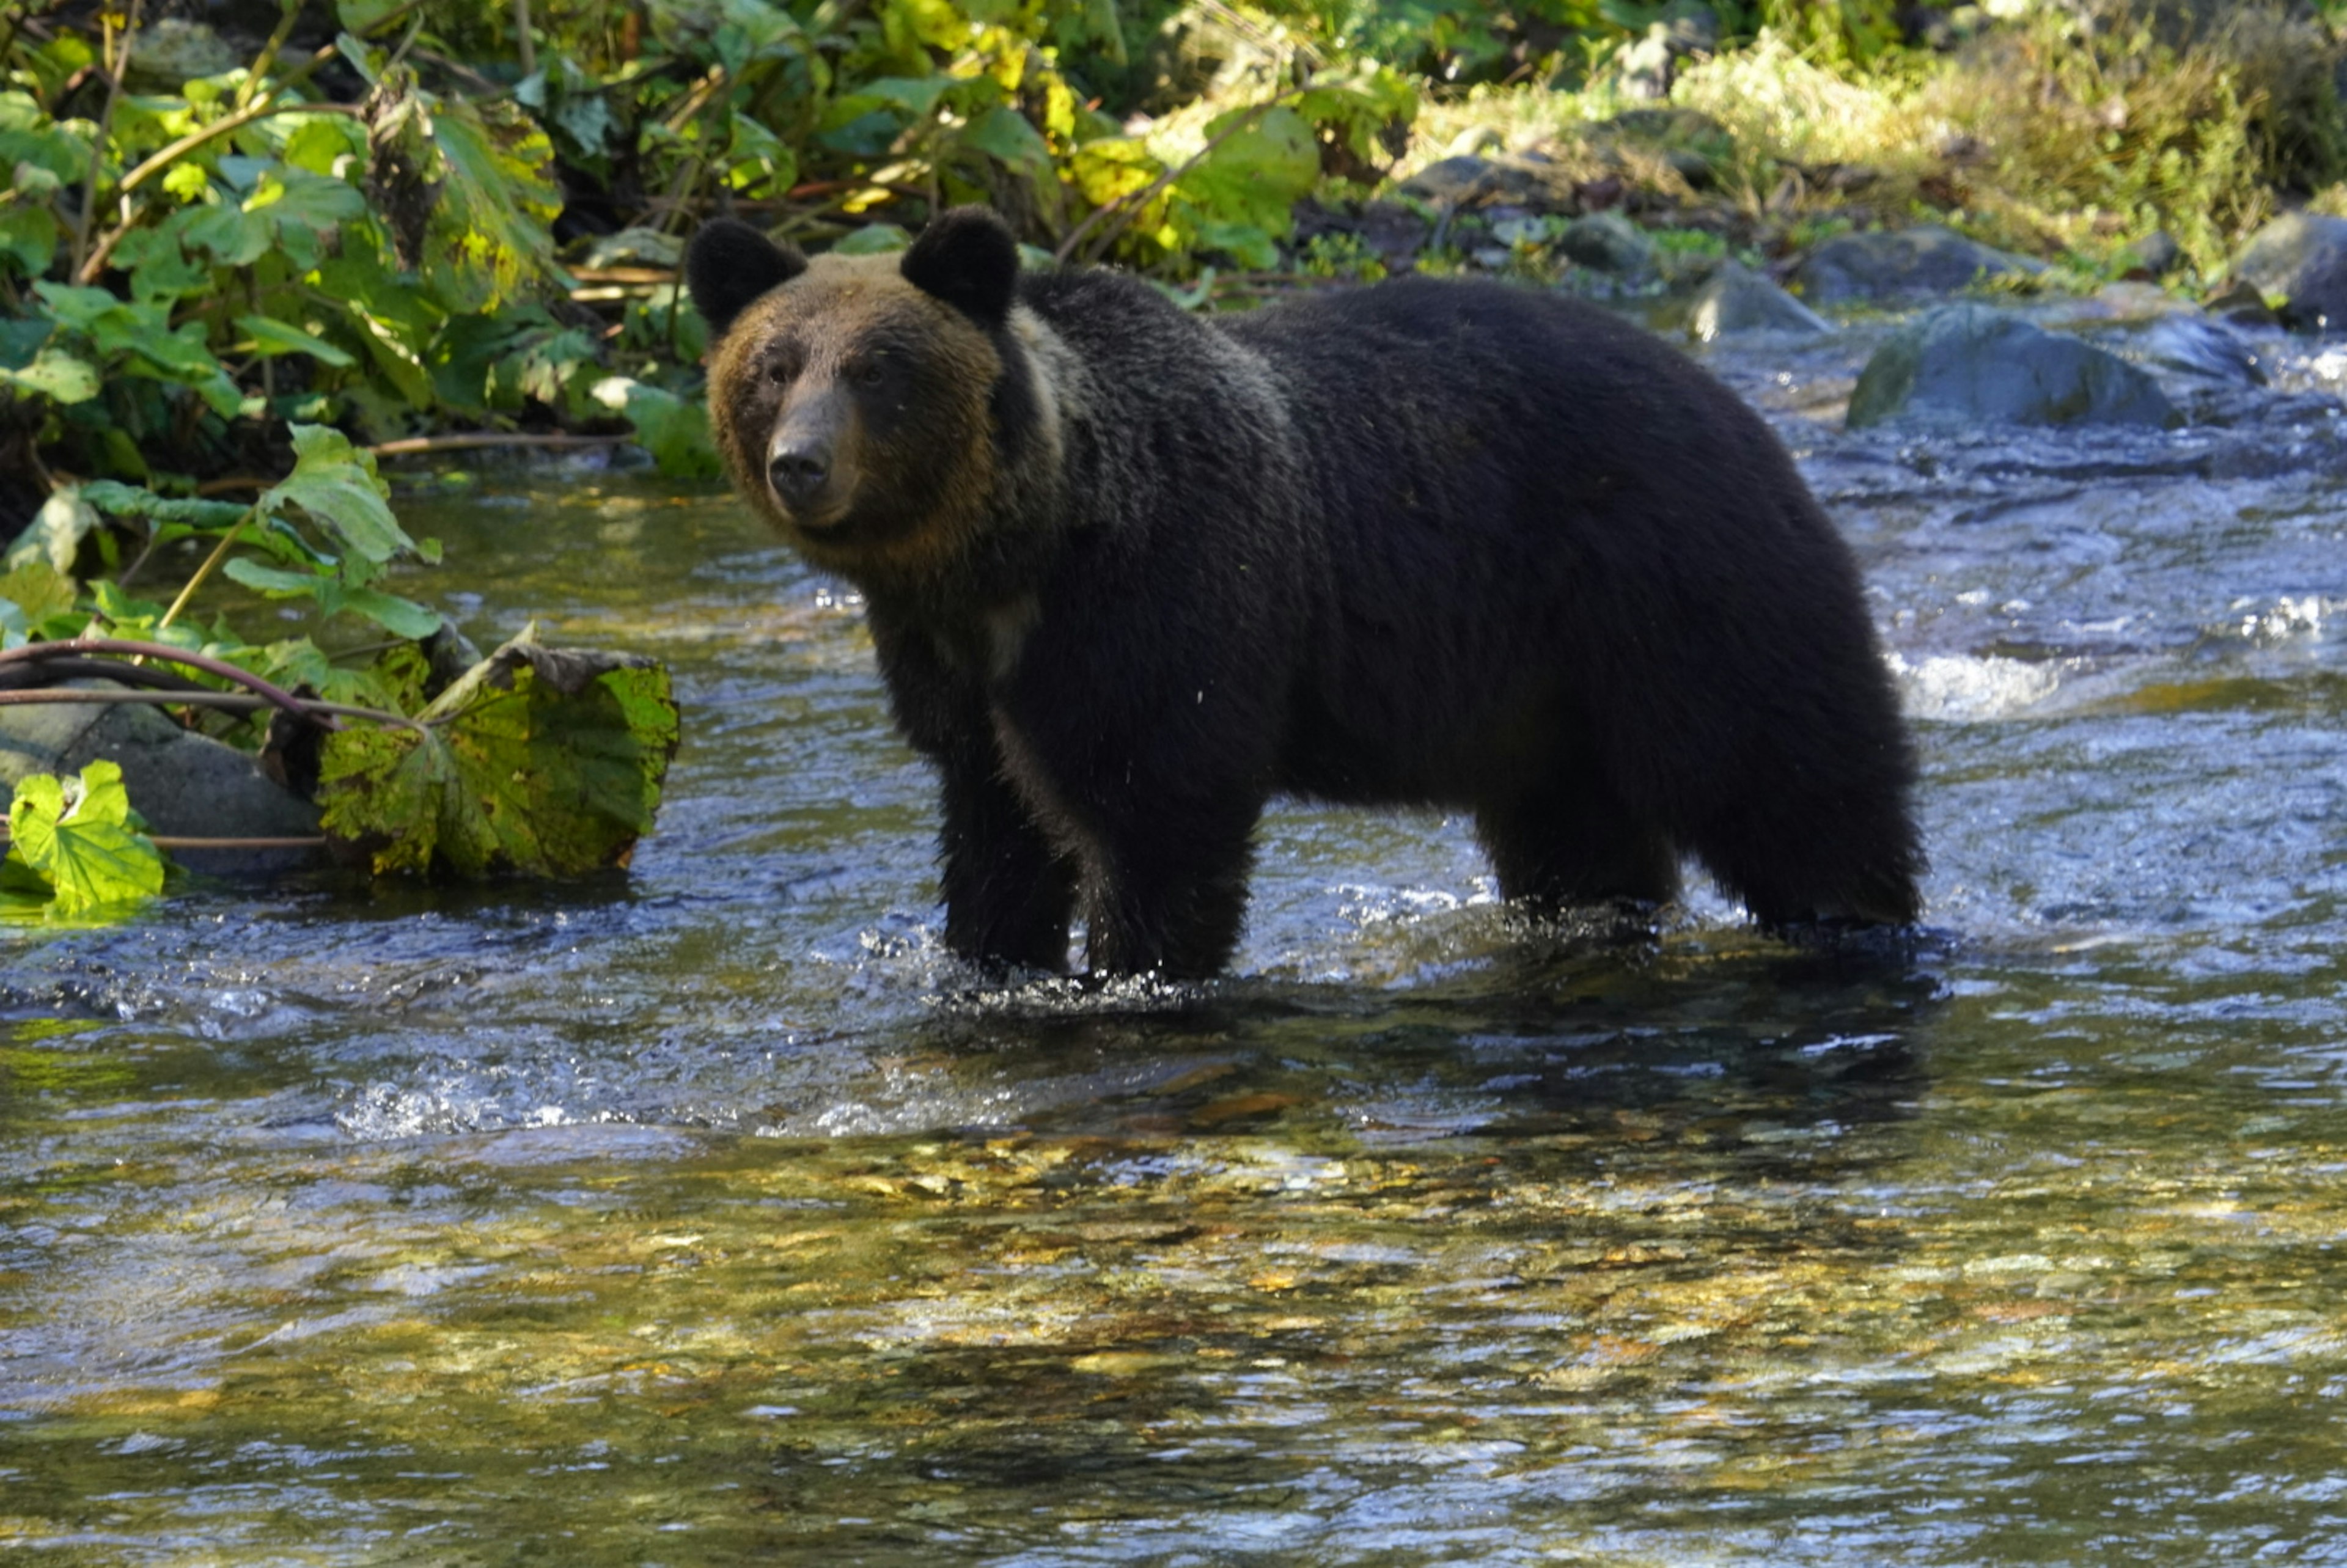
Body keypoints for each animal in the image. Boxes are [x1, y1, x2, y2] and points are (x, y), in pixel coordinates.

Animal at [685, 202, 1924, 972]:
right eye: (773, 367)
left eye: (878, 370)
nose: (802, 464)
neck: (1017, 556)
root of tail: (1741, 409)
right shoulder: (957, 682)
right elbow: (997, 844)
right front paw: (990, 964)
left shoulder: (1162, 605)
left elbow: (1157, 818)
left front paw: (1127, 973)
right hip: (1546, 694)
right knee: (1580, 837)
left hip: (1676, 594)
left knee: (1787, 775)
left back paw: (1855, 915)